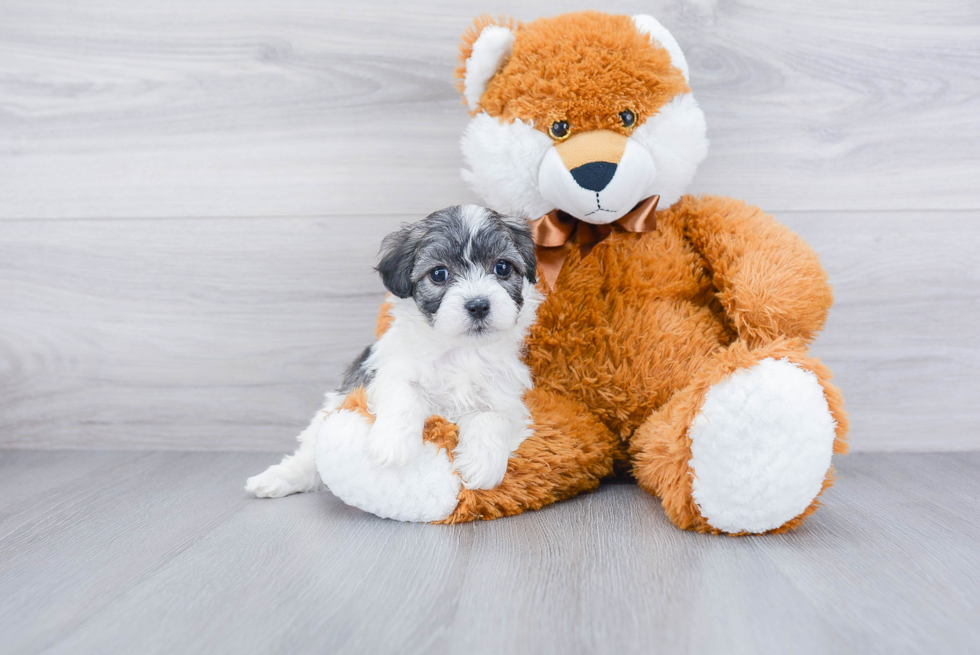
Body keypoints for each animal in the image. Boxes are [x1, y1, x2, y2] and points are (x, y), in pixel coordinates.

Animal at [242, 205, 540, 498]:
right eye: (439, 274)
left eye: (502, 267)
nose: (478, 305)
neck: (459, 351)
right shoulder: (392, 367)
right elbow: (404, 394)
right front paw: (392, 446)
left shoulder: (505, 395)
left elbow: (494, 417)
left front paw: (482, 466)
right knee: (308, 457)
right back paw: (276, 479)